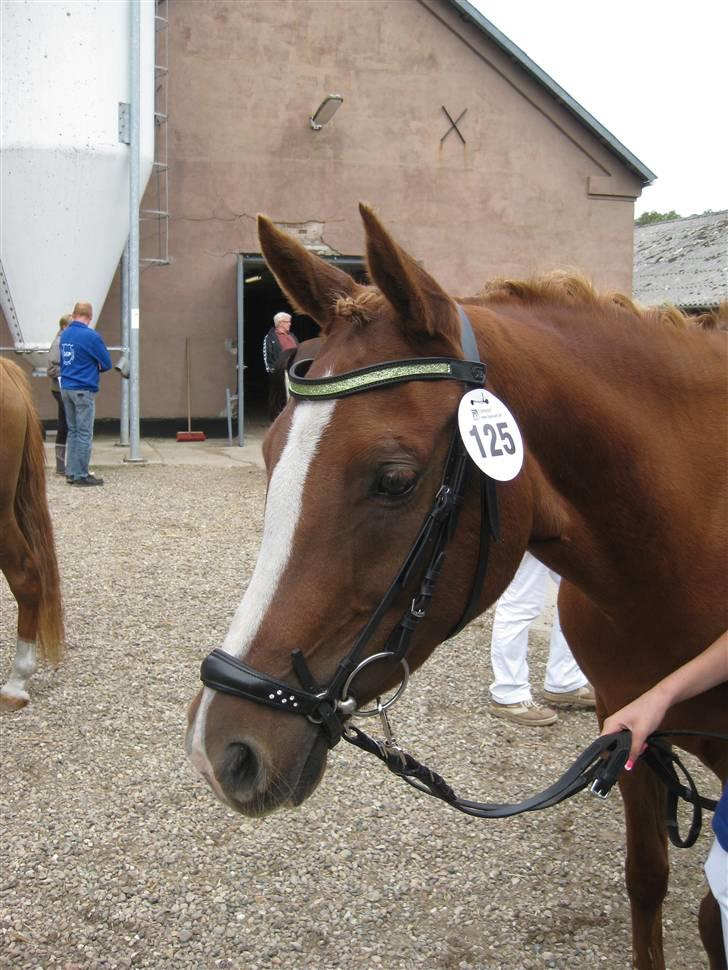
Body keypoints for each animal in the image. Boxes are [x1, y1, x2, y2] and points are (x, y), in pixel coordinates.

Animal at [189, 206, 728, 968]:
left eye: (394, 479)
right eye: (270, 451)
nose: (221, 751)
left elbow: (711, 915)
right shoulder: (631, 732)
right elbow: (647, 878)